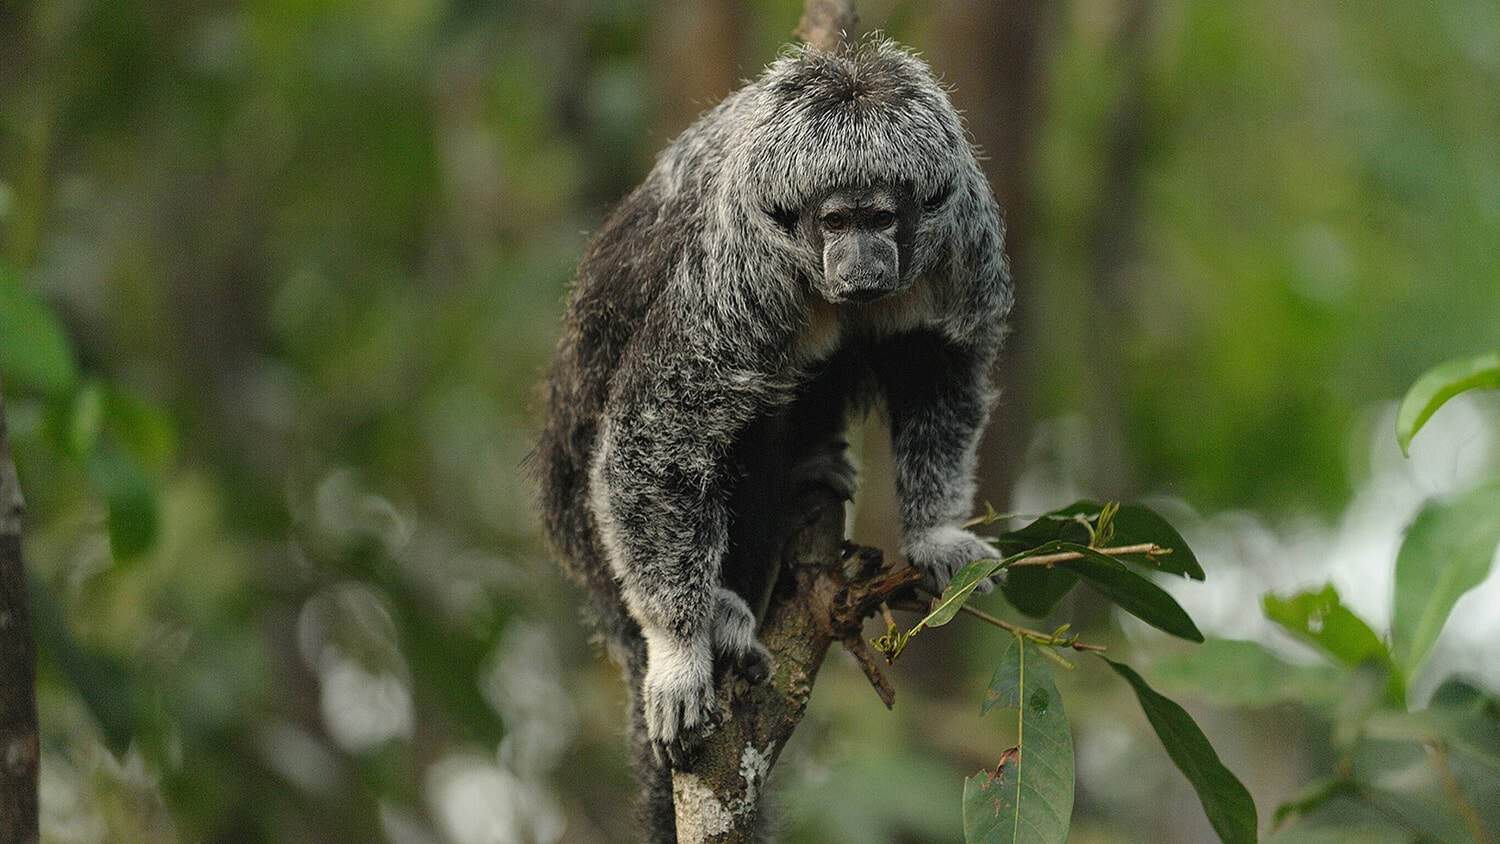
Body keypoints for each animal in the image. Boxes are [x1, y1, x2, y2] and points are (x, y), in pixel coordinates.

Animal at [537, 39, 1011, 841]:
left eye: (882, 218)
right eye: (837, 221)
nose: (862, 258)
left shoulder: (962, 244)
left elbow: (940, 369)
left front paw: (934, 532)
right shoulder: (738, 281)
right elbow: (652, 434)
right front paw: (680, 652)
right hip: (585, 529)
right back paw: (722, 615)